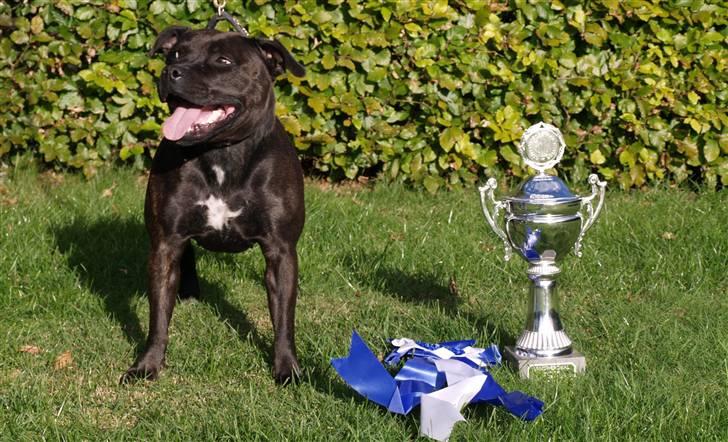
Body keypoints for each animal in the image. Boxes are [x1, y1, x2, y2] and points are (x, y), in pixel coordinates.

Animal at [123, 25, 306, 384]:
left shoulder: (281, 251)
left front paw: (287, 367)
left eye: (223, 61)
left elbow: (283, 319)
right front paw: (148, 364)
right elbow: (157, 315)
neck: (222, 153)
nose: (171, 72)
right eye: (174, 54)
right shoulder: (164, 244)